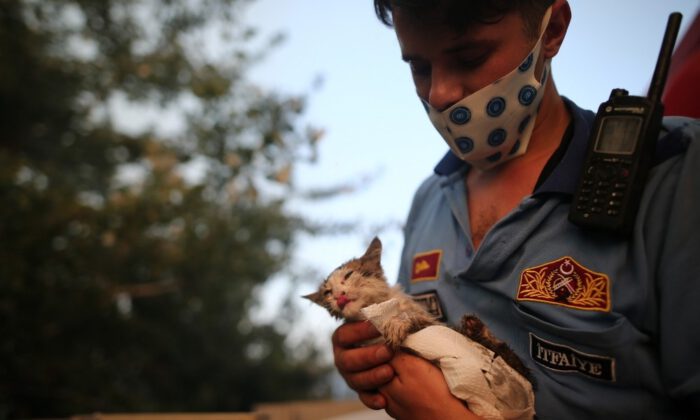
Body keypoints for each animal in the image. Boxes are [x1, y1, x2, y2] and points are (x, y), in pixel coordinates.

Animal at [304, 236, 532, 380]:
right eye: (327, 293)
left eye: (349, 275)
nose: (338, 296)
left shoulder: (431, 324)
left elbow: (414, 318)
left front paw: (397, 323)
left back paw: (474, 327)